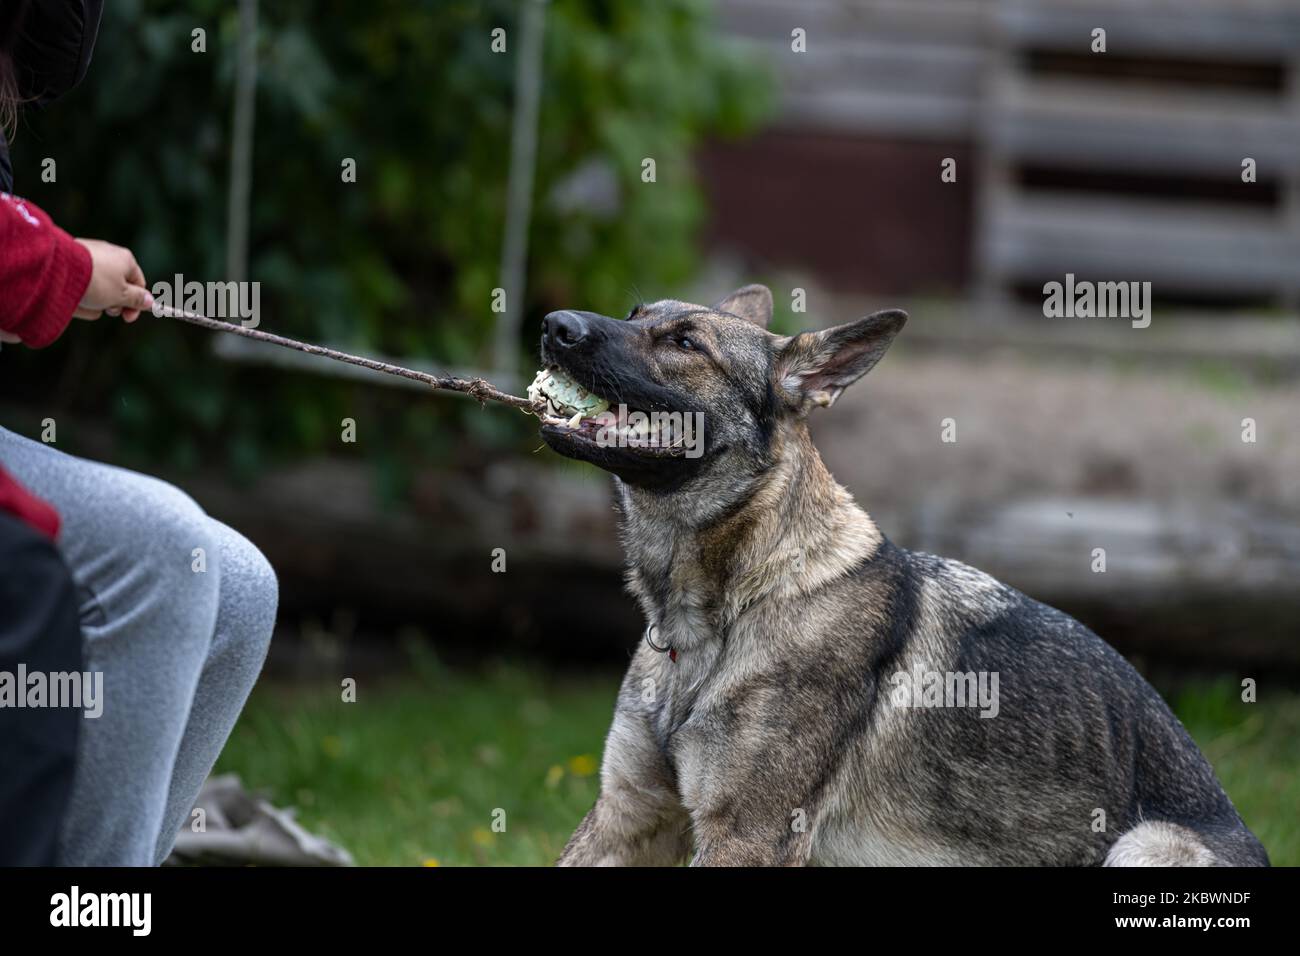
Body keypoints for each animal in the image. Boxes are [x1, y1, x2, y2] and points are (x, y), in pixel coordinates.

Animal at [535, 283, 1268, 868]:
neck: (734, 604)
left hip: (1144, 844)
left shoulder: (745, 836)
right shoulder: (625, 819)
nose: (553, 324)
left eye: (686, 341)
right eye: (635, 313)